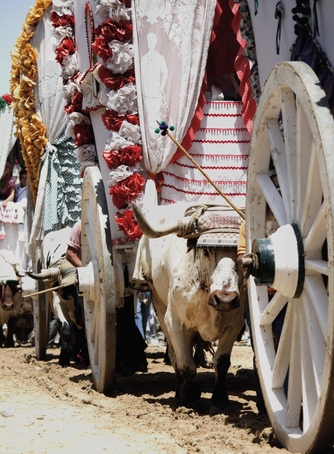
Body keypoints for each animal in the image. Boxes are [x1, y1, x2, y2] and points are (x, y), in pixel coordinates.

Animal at [133, 202, 245, 412]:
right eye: (206, 251)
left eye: (240, 255)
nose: (225, 299)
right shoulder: (175, 323)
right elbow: (185, 364)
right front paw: (190, 393)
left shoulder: (235, 325)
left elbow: (221, 362)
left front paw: (220, 397)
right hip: (159, 304)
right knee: (174, 356)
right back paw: (179, 391)